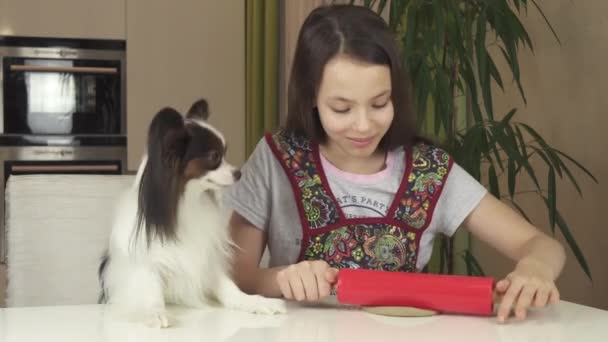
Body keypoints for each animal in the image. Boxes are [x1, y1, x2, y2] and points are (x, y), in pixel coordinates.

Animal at [99, 99, 288, 328]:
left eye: (225, 153)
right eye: (214, 156)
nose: (239, 173)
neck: (186, 202)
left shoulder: (206, 259)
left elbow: (228, 287)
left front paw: (254, 302)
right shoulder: (147, 264)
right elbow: (151, 290)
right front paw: (154, 311)